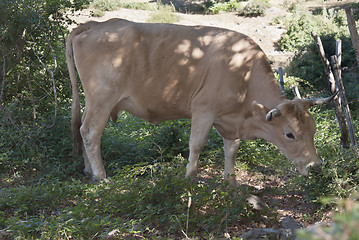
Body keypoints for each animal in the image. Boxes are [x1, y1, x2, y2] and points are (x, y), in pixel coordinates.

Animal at [66, 19, 336, 184]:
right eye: (290, 134)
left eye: (313, 129)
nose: (316, 165)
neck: (244, 74)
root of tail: (97, 24)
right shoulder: (204, 110)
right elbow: (196, 145)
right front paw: (190, 178)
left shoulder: (230, 120)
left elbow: (231, 149)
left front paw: (230, 181)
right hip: (102, 98)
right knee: (91, 132)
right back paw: (101, 177)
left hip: (93, 101)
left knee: (81, 129)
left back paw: (88, 169)